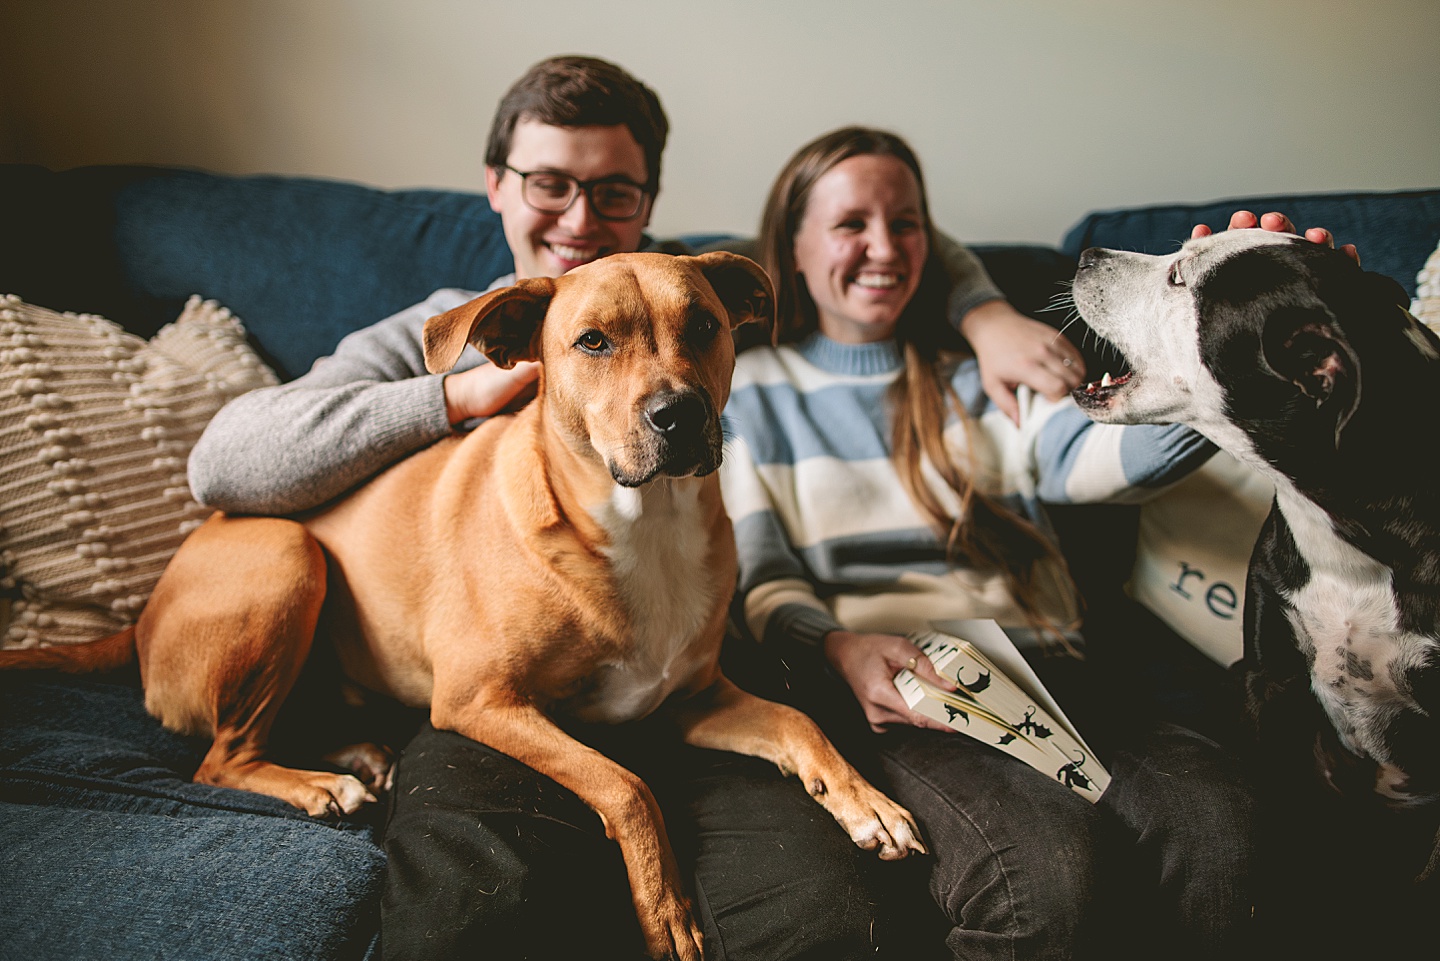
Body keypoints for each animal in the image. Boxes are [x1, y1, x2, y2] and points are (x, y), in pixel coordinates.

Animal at [5, 253, 927, 961]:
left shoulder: (690, 699)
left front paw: (866, 802)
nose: (680, 413)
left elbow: (800, 722)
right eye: (592, 341)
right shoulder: (482, 700)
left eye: (703, 324)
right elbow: (627, 784)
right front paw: (665, 907)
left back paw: (354, 753)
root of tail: (140, 616)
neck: (643, 527)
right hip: (289, 556)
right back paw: (318, 783)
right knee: (217, 760)